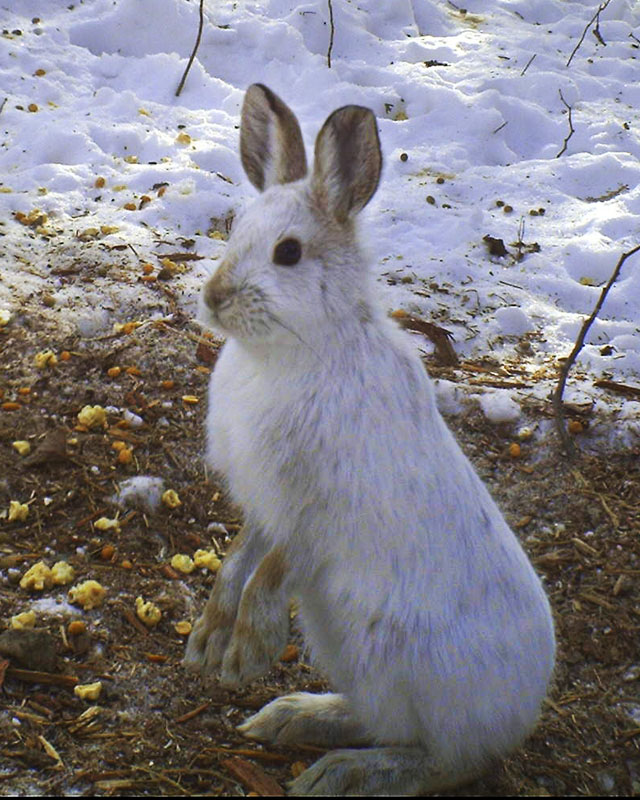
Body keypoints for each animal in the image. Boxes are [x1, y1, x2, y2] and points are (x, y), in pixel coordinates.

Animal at [184, 83, 556, 796]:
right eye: (235, 231)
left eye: (289, 253)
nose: (214, 297)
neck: (295, 349)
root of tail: (525, 710)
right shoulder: (267, 505)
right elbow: (240, 558)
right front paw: (209, 638)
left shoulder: (315, 510)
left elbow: (274, 569)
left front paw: (248, 652)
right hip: (349, 654)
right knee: (386, 723)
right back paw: (294, 718)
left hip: (406, 669)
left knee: (446, 760)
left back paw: (340, 772)